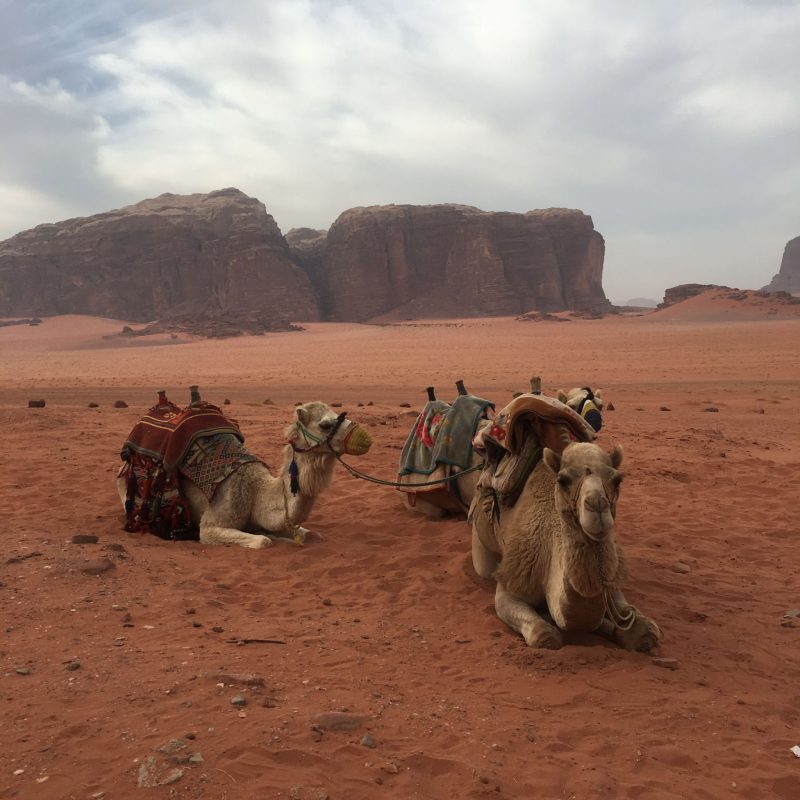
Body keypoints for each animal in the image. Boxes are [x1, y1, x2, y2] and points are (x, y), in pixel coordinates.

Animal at [117, 400, 374, 552]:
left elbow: (311, 535)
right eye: (325, 424)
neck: (256, 492)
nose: (365, 438)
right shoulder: (211, 525)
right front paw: (270, 537)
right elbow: (263, 541)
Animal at [468, 440, 664, 652]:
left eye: (617, 480)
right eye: (562, 480)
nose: (597, 506)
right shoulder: (512, 580)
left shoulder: (611, 583)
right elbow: (544, 635)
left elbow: (643, 630)